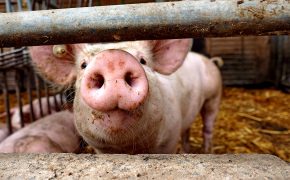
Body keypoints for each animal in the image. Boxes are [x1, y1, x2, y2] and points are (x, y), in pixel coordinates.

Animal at [28, 39, 222, 153]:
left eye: (143, 60)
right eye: (83, 65)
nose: (112, 59)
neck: (127, 149)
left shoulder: (170, 140)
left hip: (214, 97)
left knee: (208, 127)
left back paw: (207, 151)